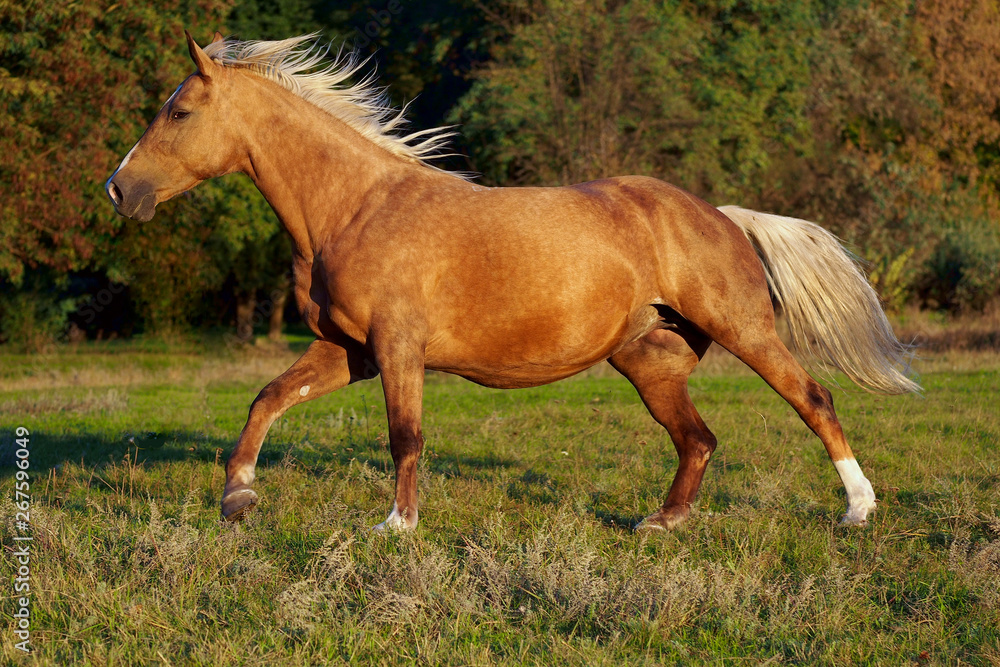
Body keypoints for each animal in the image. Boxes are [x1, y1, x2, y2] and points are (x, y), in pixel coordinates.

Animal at [105, 32, 916, 532]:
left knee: (812, 398)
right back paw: (661, 521)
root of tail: (720, 215)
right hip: (649, 359)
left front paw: (396, 525)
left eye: (180, 111)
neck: (355, 206)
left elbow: (405, 435)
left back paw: (858, 508)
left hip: (742, 329)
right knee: (698, 438)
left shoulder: (397, 348)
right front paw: (238, 496)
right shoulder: (348, 349)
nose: (119, 190)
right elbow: (267, 398)